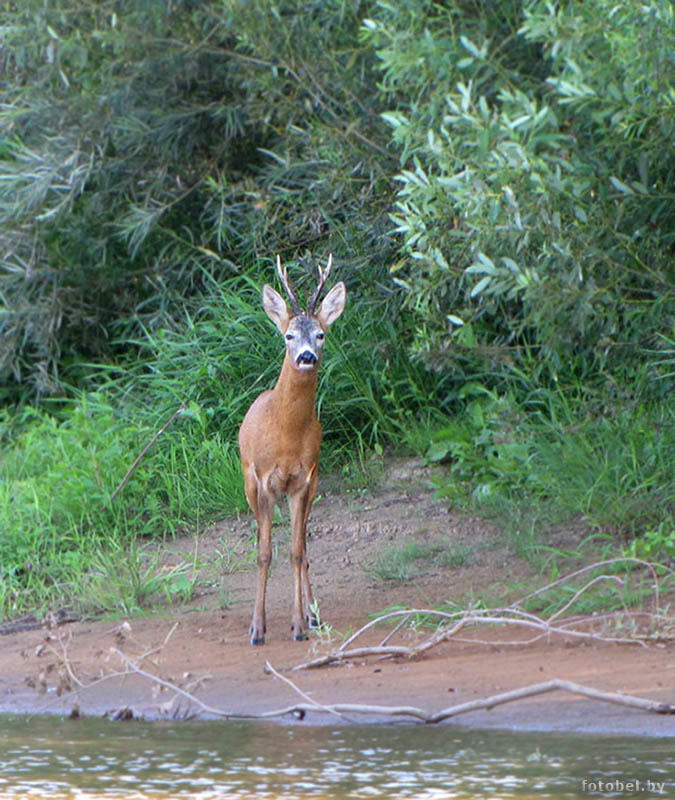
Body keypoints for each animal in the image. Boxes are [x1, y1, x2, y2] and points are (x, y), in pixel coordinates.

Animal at [239, 255, 346, 644]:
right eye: (288, 334)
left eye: (320, 334)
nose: (306, 356)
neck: (285, 433)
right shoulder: (262, 480)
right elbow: (264, 553)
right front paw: (257, 628)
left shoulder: (302, 479)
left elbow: (297, 552)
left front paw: (299, 624)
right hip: (249, 485)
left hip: (313, 485)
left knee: (304, 547)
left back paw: (312, 616)